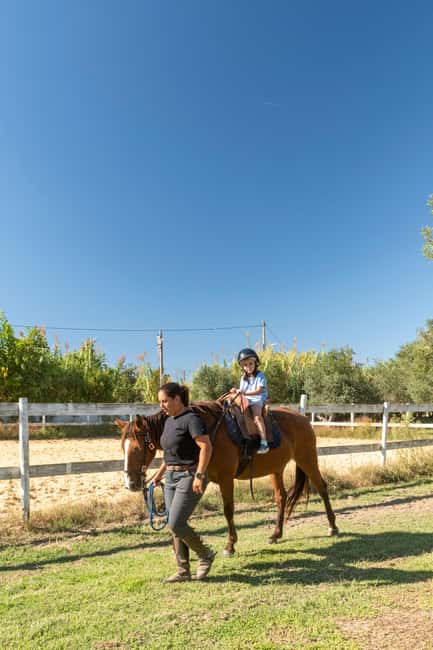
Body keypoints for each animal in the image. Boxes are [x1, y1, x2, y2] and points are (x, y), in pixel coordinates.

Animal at [116, 400, 338, 556]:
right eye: (122, 448)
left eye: (137, 448)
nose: (131, 484)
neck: (207, 434)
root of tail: (302, 418)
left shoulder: (225, 479)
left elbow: (228, 510)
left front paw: (230, 545)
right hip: (276, 469)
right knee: (281, 497)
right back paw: (276, 534)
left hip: (307, 459)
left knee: (322, 487)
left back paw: (333, 527)